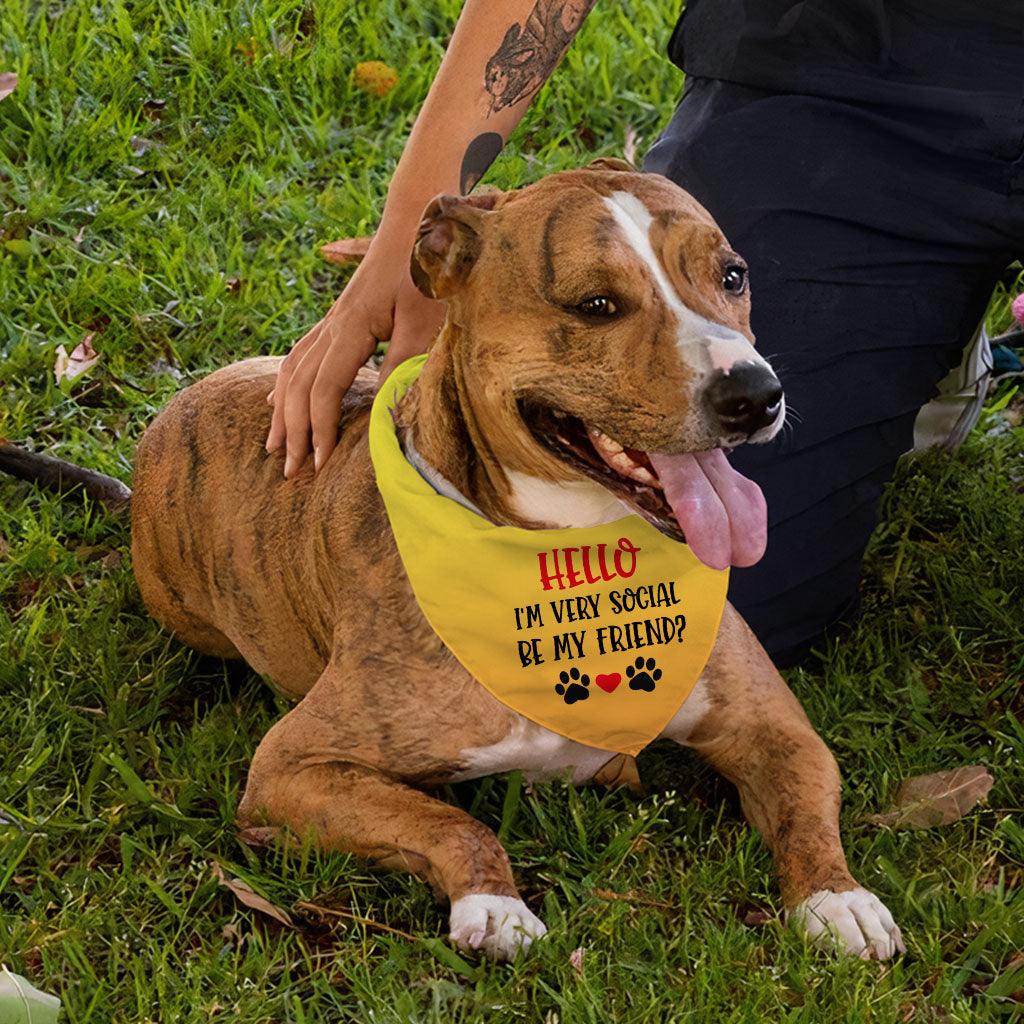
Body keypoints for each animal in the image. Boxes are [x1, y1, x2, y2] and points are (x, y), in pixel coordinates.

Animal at [6, 157, 905, 958]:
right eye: (597, 304)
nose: (755, 394)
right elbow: (451, 819)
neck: (568, 556)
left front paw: (840, 897)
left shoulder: (773, 726)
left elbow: (804, 807)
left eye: (732, 275)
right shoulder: (292, 768)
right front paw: (493, 904)